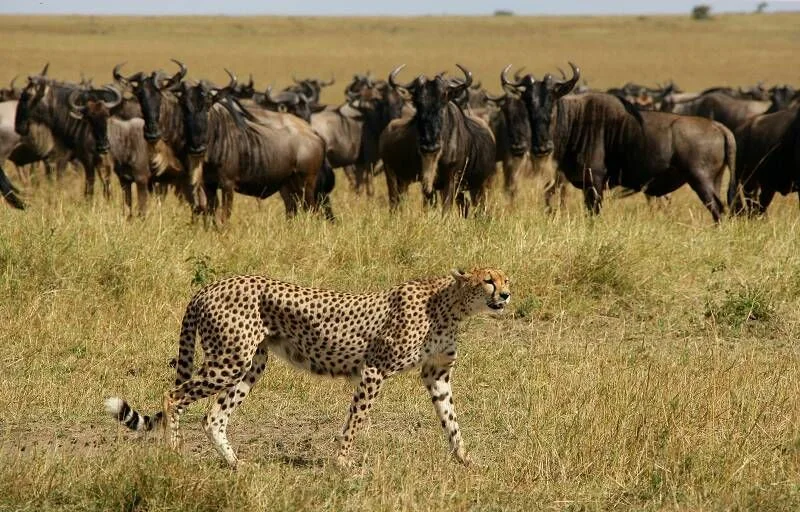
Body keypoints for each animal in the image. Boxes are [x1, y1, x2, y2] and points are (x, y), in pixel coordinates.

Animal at [104, 266, 511, 469]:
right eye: (488, 280)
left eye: (506, 279)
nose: (506, 295)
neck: (450, 305)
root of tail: (210, 286)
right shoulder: (374, 370)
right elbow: (355, 421)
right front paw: (343, 463)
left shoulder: (436, 375)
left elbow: (451, 420)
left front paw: (465, 459)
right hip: (229, 360)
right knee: (173, 397)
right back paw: (173, 454)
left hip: (251, 364)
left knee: (213, 416)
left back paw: (236, 464)